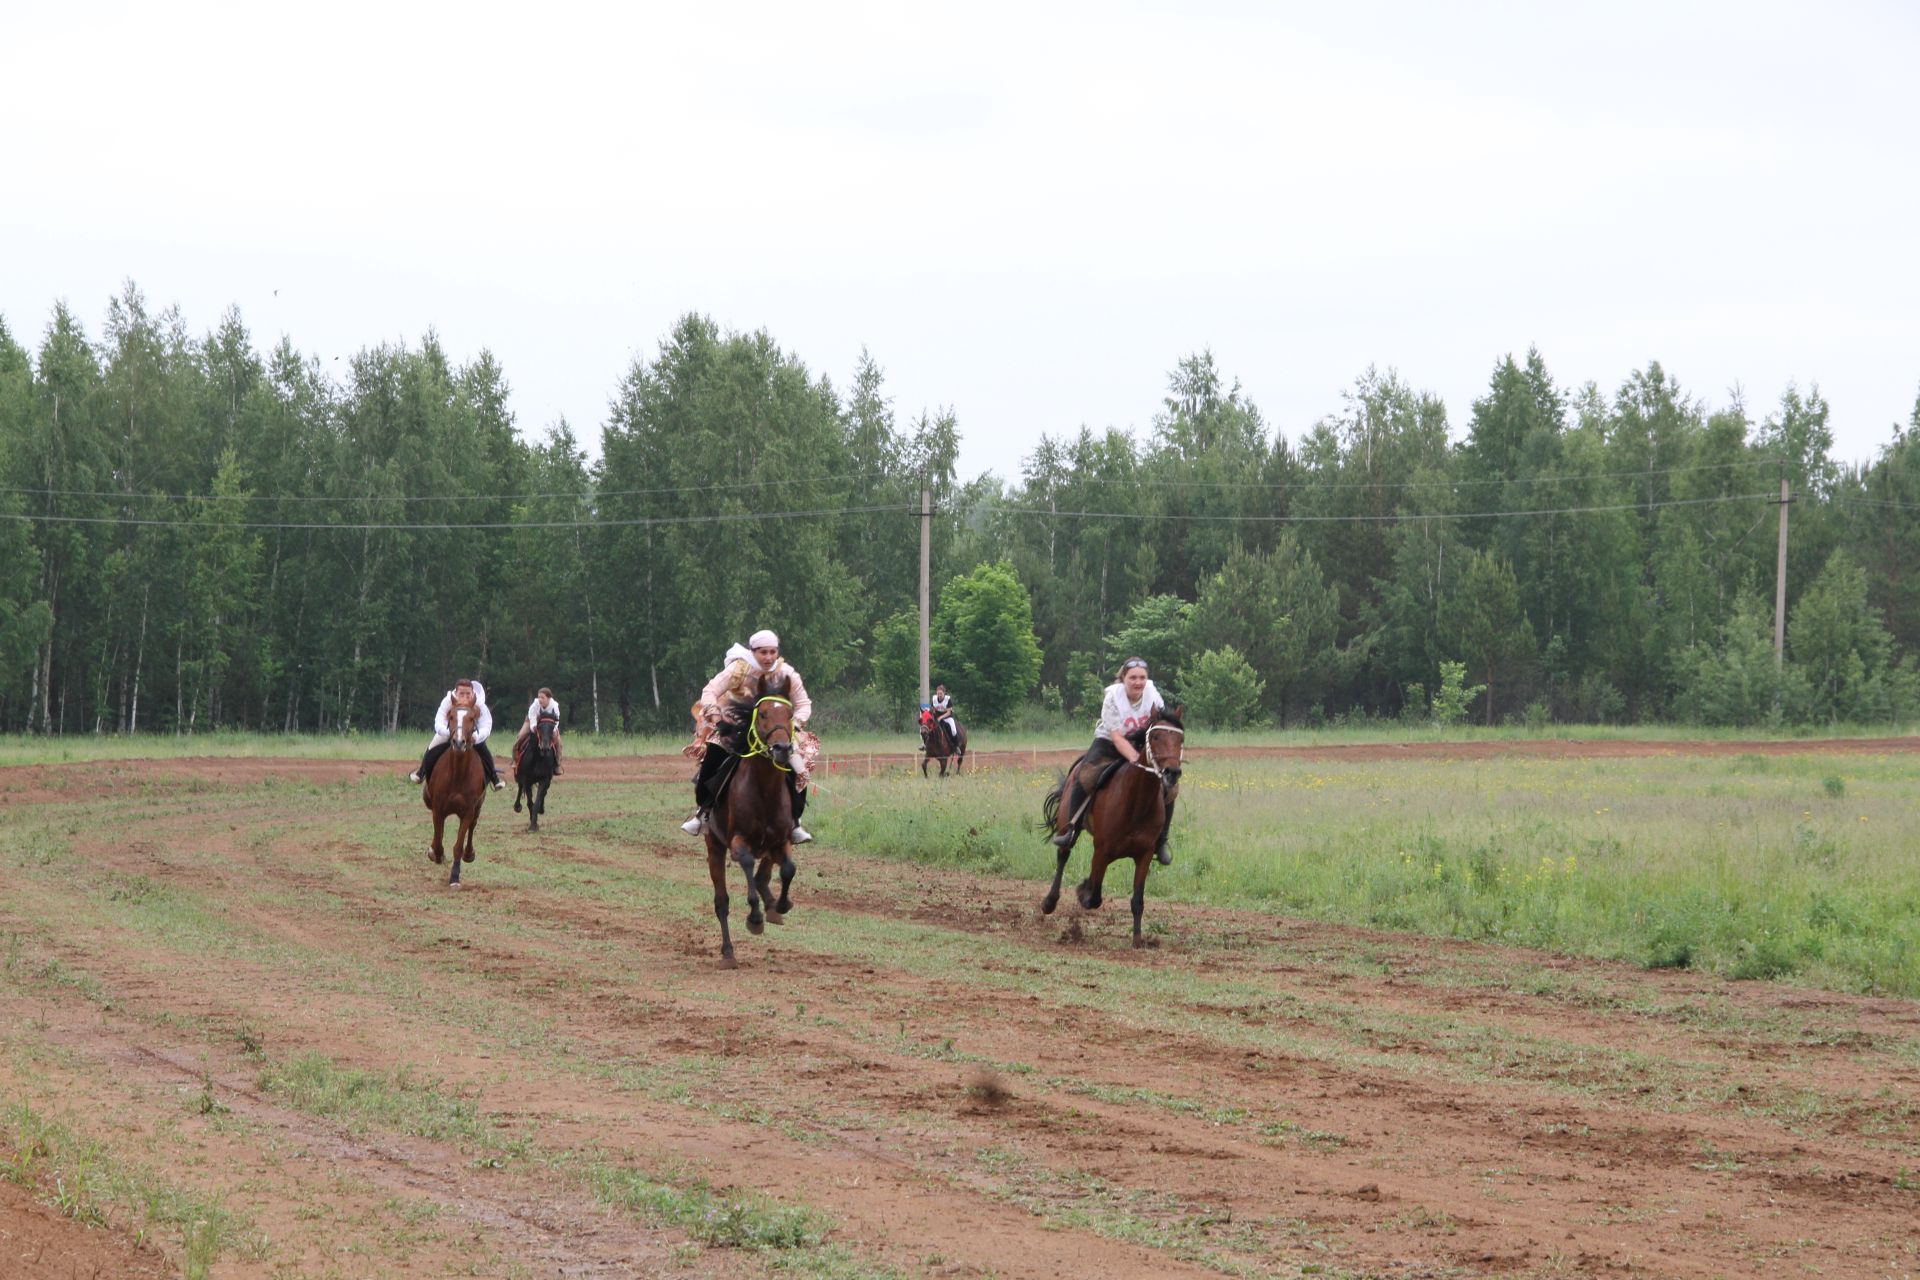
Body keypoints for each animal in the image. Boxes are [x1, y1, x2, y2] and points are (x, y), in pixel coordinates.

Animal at [426, 694, 487, 886]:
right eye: (451, 716)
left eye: (472, 718)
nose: (459, 742)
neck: (458, 774)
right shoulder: (438, 808)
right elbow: (438, 839)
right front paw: (436, 854)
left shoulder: (467, 811)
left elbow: (458, 846)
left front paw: (454, 877)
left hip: (477, 808)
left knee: (472, 827)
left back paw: (469, 854)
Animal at [702, 675, 798, 967]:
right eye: (763, 713)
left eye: (790, 715)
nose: (781, 749)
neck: (764, 790)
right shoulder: (737, 841)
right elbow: (745, 863)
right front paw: (755, 918)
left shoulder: (781, 839)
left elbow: (788, 869)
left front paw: (781, 904)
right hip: (714, 847)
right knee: (721, 902)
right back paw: (728, 953)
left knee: (764, 873)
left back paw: (771, 904)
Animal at [1044, 706, 1175, 948]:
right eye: (1156, 737)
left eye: (1180, 739)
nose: (1173, 772)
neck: (1136, 803)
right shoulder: (1102, 850)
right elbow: (1094, 896)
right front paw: (1083, 891)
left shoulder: (1144, 854)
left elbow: (1137, 900)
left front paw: (1138, 939)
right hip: (1067, 823)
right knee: (1063, 853)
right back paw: (1049, 902)